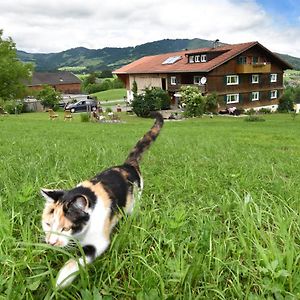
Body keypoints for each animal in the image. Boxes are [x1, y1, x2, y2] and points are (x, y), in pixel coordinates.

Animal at [40, 113, 164, 288]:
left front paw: (61, 280)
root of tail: (128, 165)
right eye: (48, 224)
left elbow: (81, 257)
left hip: (136, 198)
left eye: (65, 228)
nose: (50, 242)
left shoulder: (99, 240)